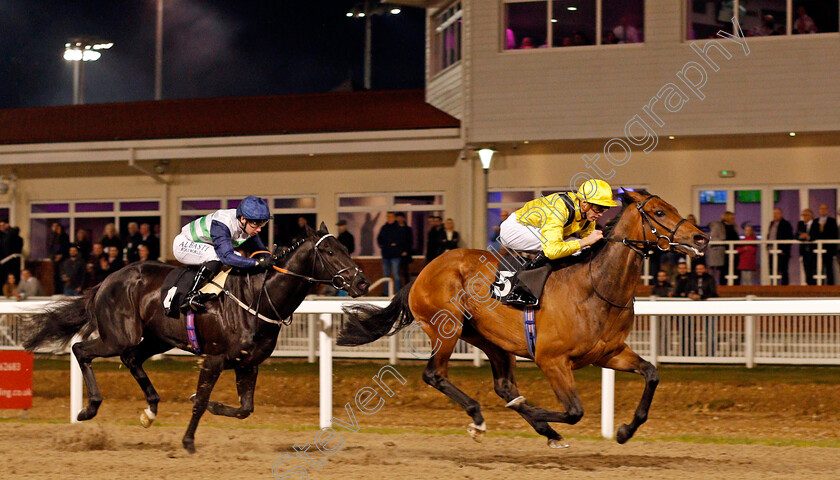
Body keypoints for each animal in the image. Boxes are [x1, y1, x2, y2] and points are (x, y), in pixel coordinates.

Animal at [24, 223, 368, 452]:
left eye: (346, 248)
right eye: (328, 251)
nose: (362, 282)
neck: (258, 297)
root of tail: (106, 279)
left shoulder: (248, 363)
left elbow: (244, 409)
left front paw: (212, 408)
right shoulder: (214, 358)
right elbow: (200, 401)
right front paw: (188, 440)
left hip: (157, 337)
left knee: (131, 358)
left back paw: (150, 410)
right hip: (120, 335)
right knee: (82, 349)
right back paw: (89, 408)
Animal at [338, 191, 704, 450]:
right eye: (659, 212)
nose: (701, 238)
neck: (595, 286)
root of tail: (424, 271)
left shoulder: (609, 353)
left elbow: (652, 374)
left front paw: (625, 430)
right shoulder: (551, 359)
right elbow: (574, 411)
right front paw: (537, 413)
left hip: (490, 338)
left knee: (502, 385)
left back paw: (538, 426)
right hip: (447, 328)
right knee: (435, 374)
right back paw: (480, 419)